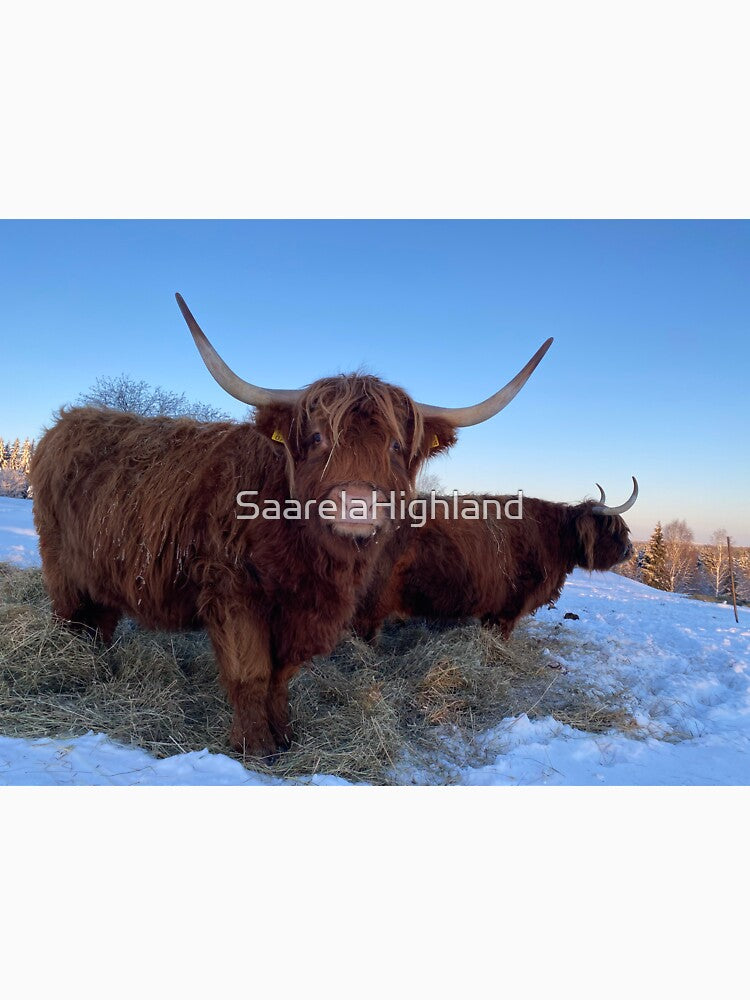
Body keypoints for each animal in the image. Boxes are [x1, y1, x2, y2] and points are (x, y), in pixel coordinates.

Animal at [30, 294, 553, 756]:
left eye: (395, 446)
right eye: (318, 437)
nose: (356, 504)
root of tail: (67, 421)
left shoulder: (307, 612)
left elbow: (281, 675)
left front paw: (284, 734)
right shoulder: (233, 593)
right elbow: (252, 672)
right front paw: (256, 746)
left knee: (101, 621)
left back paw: (105, 669)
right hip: (61, 567)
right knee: (72, 620)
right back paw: (77, 674)